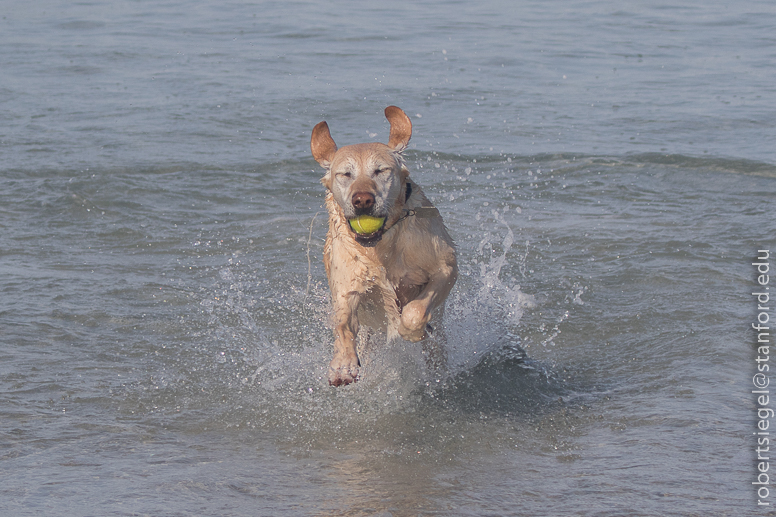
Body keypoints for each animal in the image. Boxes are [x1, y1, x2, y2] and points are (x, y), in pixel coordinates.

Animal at [310, 106, 454, 382]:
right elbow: (342, 322)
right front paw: (343, 363)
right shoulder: (347, 285)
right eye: (345, 174)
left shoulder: (445, 268)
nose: (363, 200)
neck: (382, 248)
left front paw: (410, 329)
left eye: (381, 170)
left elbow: (415, 310)